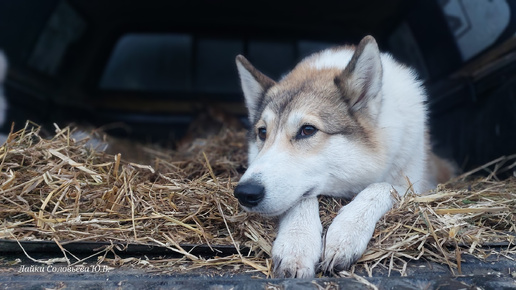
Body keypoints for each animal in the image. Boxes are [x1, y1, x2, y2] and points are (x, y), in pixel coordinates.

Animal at [232, 35, 454, 278]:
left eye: (307, 130)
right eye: (262, 132)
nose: (245, 193)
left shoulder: (413, 184)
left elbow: (380, 188)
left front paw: (345, 234)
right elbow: (302, 200)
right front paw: (297, 245)